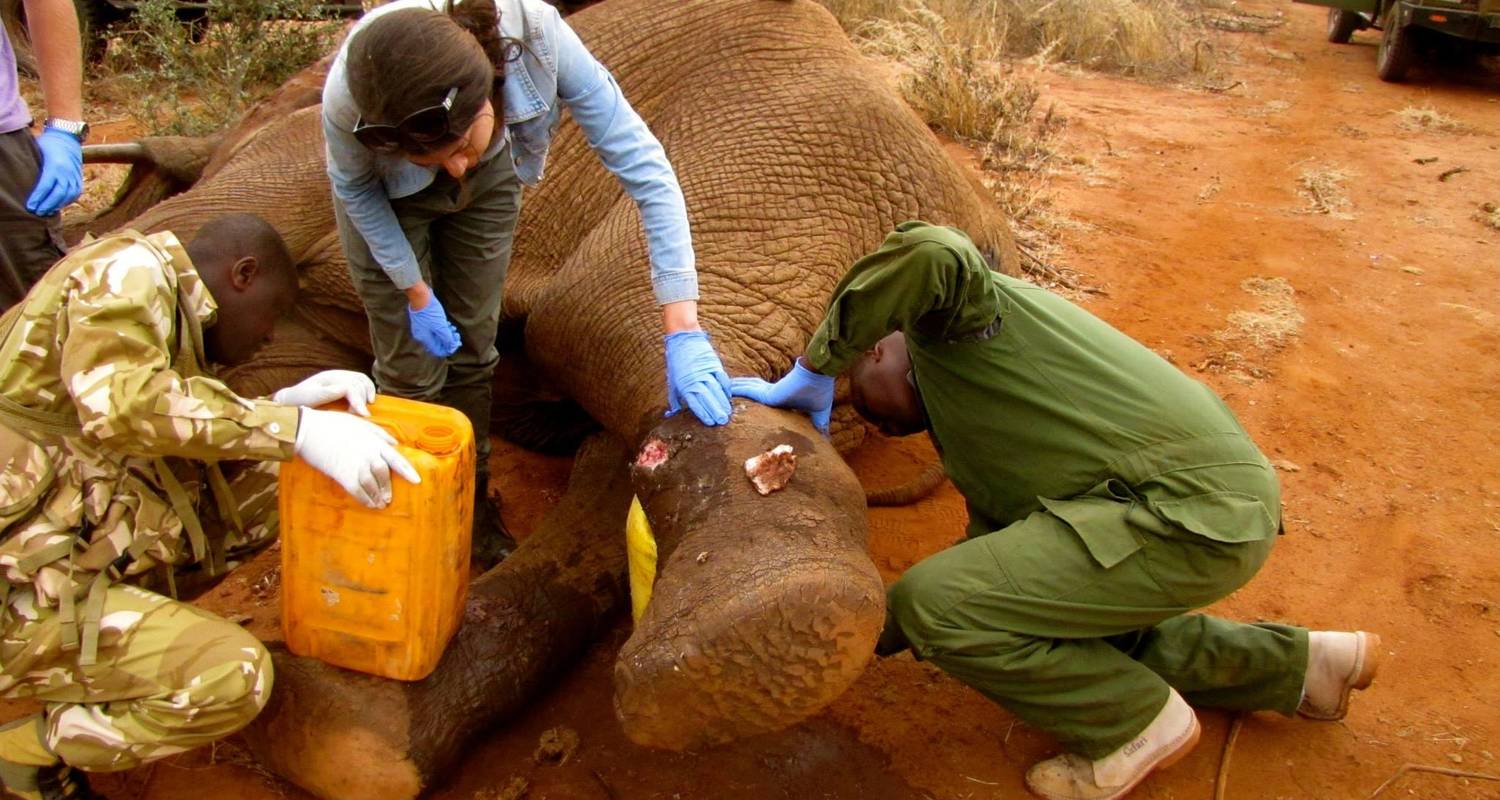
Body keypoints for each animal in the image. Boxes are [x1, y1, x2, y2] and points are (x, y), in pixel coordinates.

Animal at [82, 0, 1020, 792]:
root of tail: (983, 238)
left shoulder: (297, 146)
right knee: (615, 452)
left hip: (783, 162)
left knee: (602, 319)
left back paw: (767, 628)